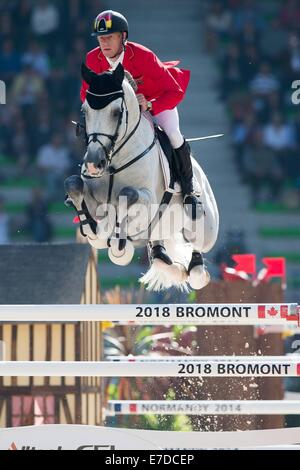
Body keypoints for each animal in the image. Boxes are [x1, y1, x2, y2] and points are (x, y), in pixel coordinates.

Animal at [64, 62, 219, 290]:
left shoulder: (148, 202)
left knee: (198, 255)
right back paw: (175, 267)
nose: (93, 164)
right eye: (85, 111)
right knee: (162, 260)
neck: (114, 162)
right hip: (160, 234)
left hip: (205, 229)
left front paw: (119, 245)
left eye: (117, 112)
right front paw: (93, 229)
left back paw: (196, 268)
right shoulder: (93, 200)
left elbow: (127, 194)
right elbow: (74, 185)